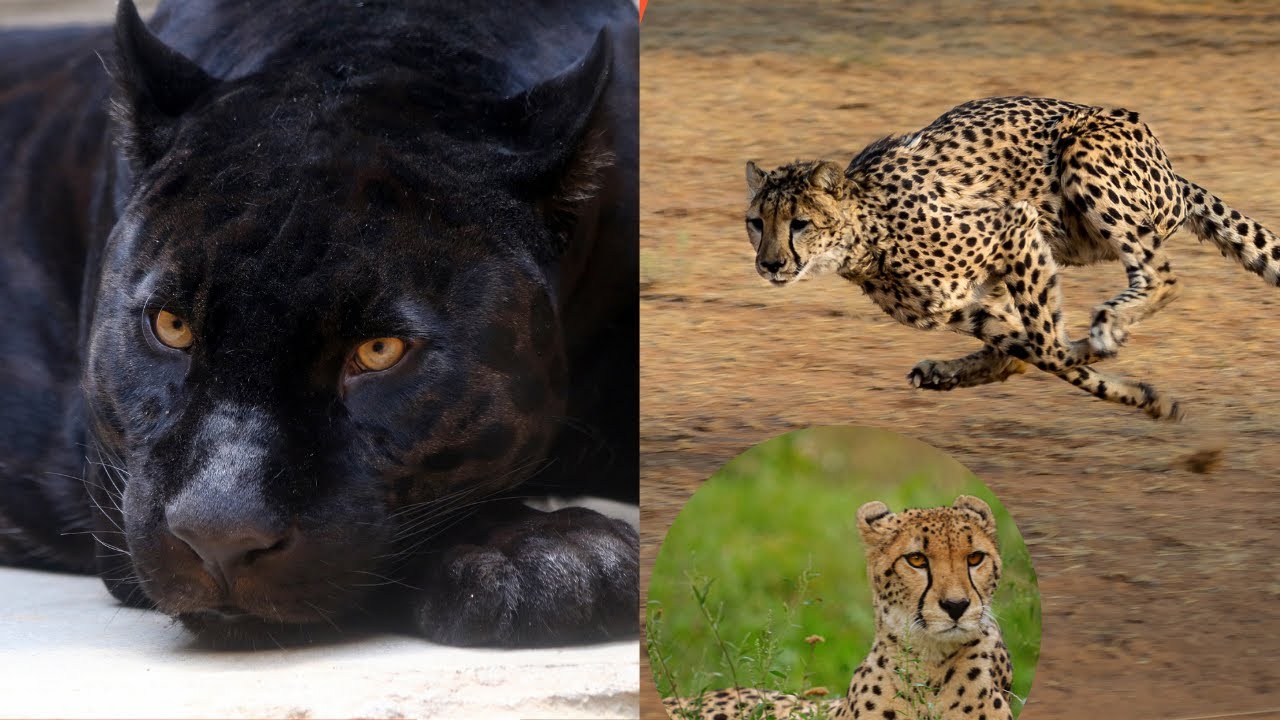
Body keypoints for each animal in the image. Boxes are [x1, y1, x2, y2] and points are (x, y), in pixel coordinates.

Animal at [745, 95, 1280, 421]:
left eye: (799, 223)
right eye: (756, 223)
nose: (770, 265)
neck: (864, 235)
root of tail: (1171, 171)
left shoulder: (1015, 225)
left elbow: (1047, 349)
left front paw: (1121, 373)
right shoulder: (963, 305)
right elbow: (1033, 353)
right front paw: (1143, 395)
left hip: (1082, 157)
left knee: (1163, 277)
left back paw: (1108, 325)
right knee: (1016, 355)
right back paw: (946, 372)